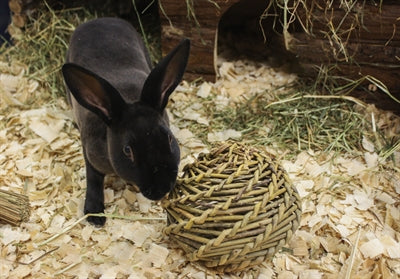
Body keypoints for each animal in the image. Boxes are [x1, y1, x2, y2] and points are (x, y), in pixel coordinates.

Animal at [61, 17, 190, 226]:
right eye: (127, 150)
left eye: (170, 138)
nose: (162, 188)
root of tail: (99, 20)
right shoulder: (90, 155)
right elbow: (93, 179)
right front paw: (95, 215)